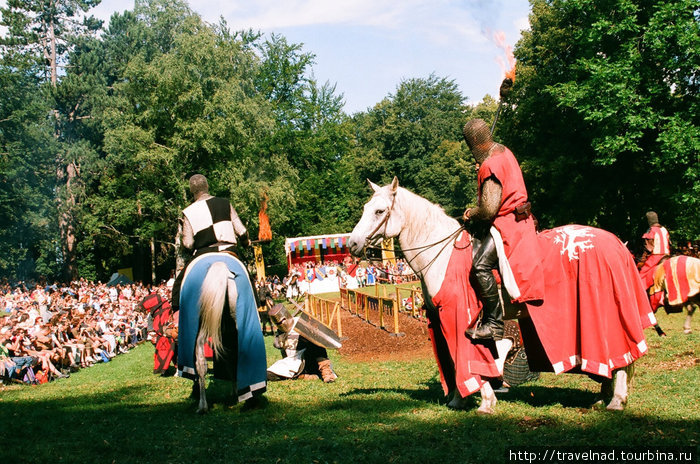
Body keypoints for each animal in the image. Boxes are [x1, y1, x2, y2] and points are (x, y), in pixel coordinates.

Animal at [350, 179, 656, 414]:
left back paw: (616, 400)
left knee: (623, 354)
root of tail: (617, 244)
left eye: (379, 211)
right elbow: (455, 359)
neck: (444, 253)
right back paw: (603, 396)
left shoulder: (459, 315)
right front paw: (458, 399)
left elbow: (467, 357)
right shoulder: (442, 318)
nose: (352, 244)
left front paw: (485, 401)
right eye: (365, 208)